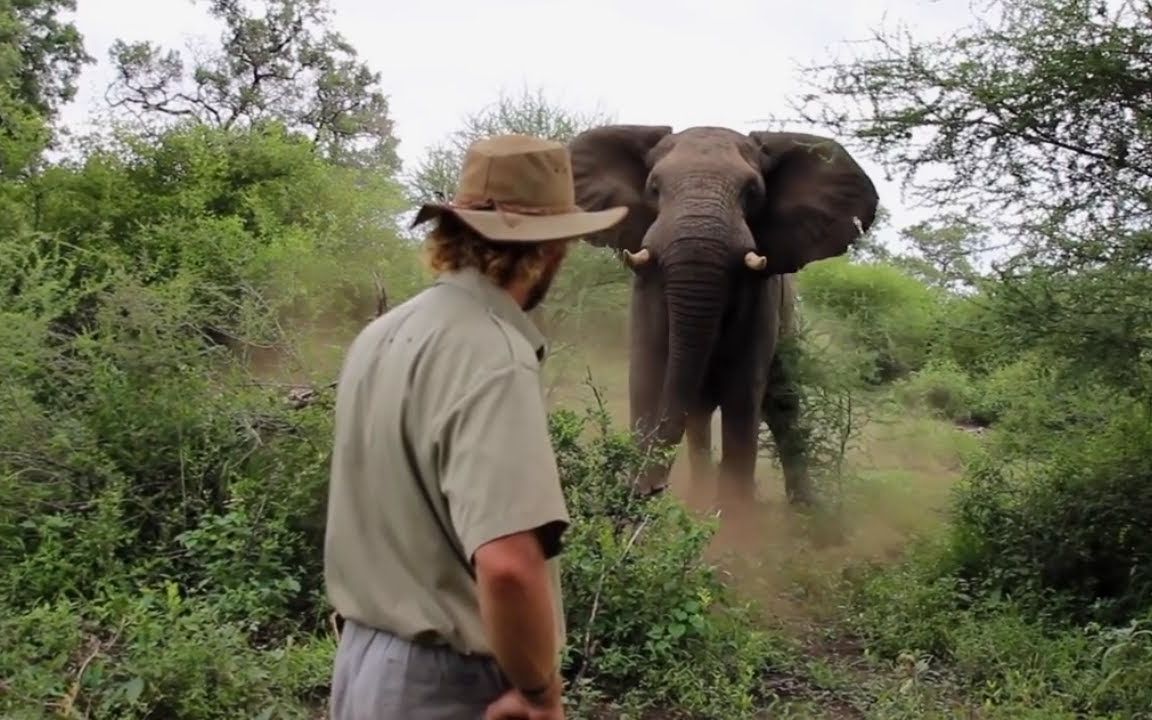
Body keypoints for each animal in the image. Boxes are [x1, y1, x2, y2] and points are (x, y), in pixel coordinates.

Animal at [569, 123, 880, 504]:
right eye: (654, 188)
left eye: (752, 192)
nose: (651, 489)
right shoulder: (645, 288)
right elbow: (648, 378)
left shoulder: (761, 299)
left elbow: (743, 397)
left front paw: (734, 516)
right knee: (701, 417)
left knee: (783, 410)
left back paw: (804, 510)